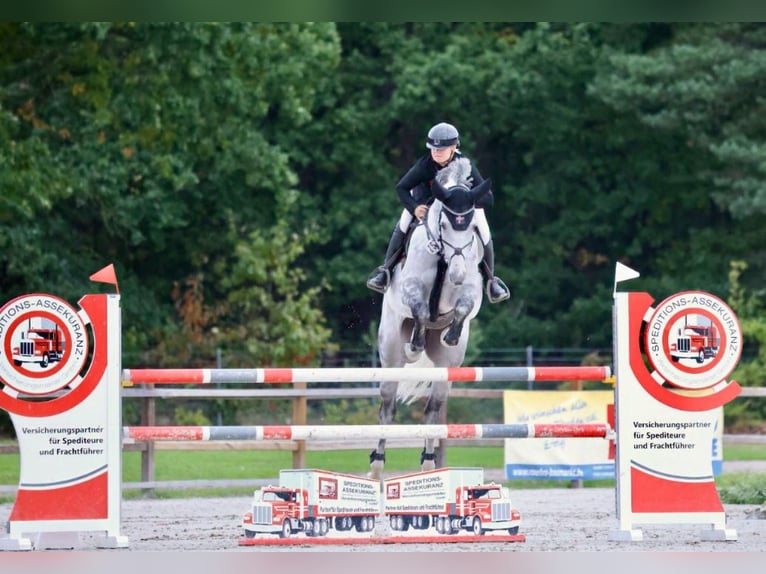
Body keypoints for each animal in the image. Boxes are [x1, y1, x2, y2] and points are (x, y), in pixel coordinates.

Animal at [369, 158, 491, 479]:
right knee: (387, 407)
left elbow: (462, 308)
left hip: (445, 372)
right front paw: (415, 346)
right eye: (445, 224)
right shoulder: (410, 289)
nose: (458, 274)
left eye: (472, 227)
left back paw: (428, 460)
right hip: (390, 356)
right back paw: (377, 463)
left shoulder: (470, 291)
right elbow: (422, 311)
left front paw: (451, 335)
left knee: (432, 411)